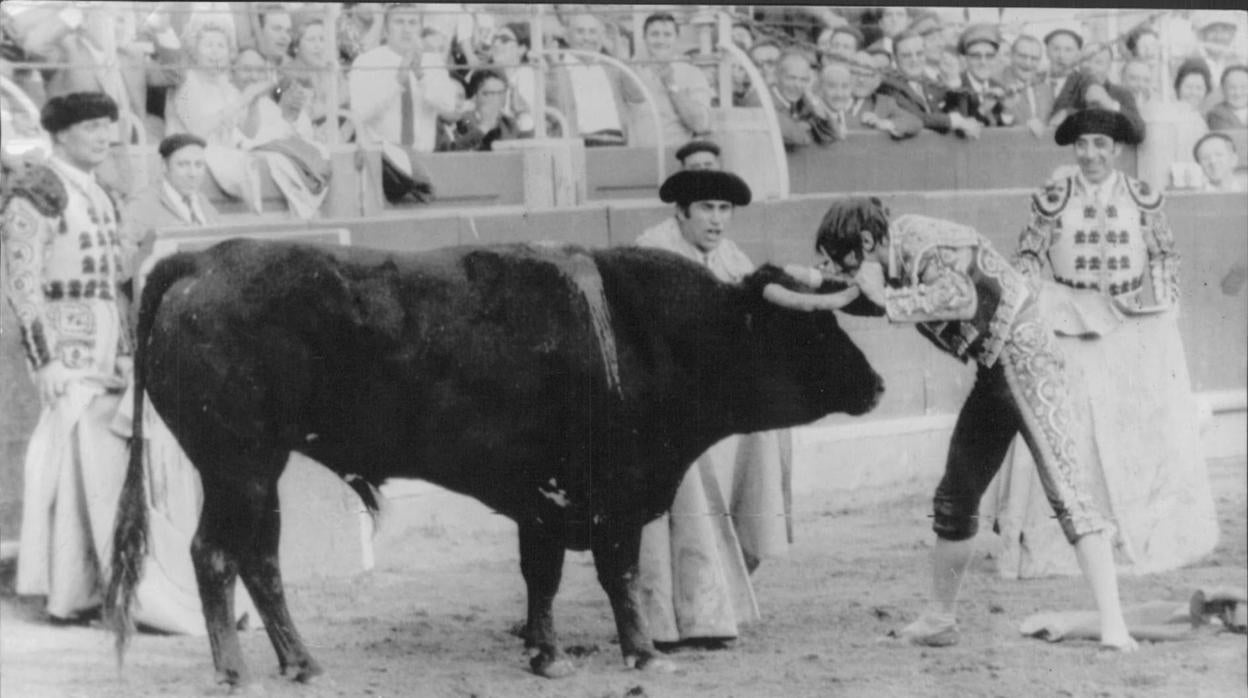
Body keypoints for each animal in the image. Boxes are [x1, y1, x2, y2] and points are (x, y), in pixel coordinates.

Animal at [107, 237, 888, 684]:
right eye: (811, 329)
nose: (879, 386)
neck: (648, 330)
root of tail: (200, 261)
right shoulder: (611, 492)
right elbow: (617, 573)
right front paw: (642, 652)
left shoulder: (540, 498)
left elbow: (540, 577)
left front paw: (545, 653)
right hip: (236, 464)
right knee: (213, 555)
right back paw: (235, 671)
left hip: (257, 469)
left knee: (261, 559)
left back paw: (302, 663)